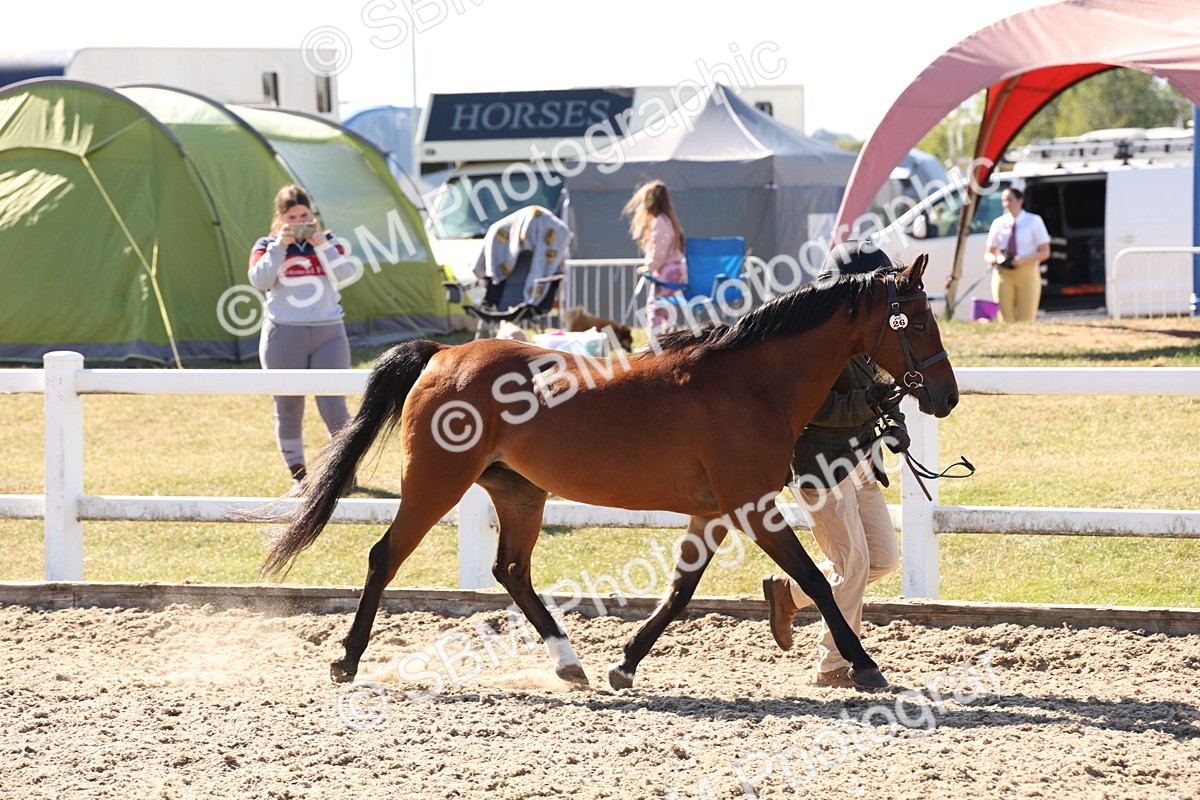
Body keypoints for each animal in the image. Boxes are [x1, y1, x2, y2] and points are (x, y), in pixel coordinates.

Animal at [259, 253, 958, 691]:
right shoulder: (752, 506)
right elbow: (814, 579)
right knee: (385, 557)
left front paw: (626, 663)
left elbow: (680, 592)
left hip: (520, 494)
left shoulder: (714, 513)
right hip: (436, 484)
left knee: (511, 571)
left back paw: (572, 665)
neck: (749, 382)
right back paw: (347, 661)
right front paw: (865, 665)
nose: (946, 396)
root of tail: (444, 354)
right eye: (920, 320)